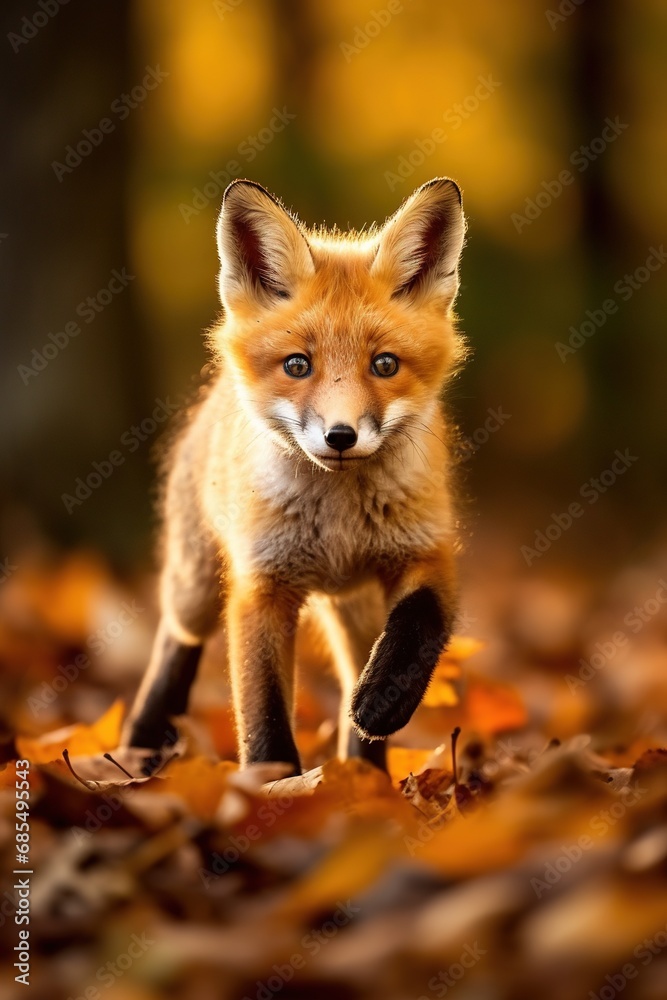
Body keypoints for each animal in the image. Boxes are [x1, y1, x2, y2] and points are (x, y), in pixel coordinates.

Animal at [123, 176, 467, 776]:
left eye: (385, 365)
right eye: (297, 366)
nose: (340, 436)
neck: (340, 523)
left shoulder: (429, 553)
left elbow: (419, 625)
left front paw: (382, 705)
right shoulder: (261, 586)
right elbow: (262, 710)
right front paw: (273, 784)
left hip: (359, 609)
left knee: (355, 672)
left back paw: (365, 774)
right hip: (195, 586)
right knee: (175, 639)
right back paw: (143, 741)